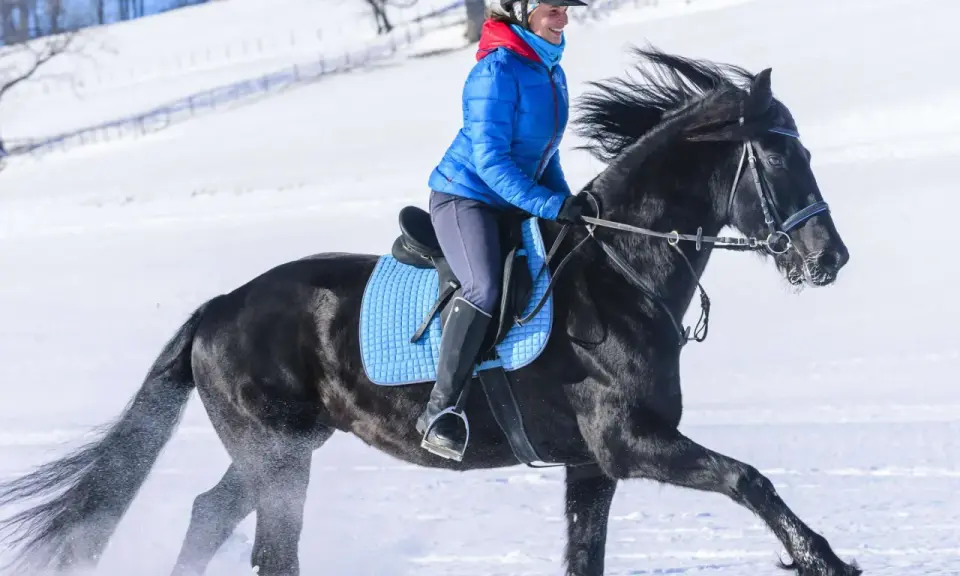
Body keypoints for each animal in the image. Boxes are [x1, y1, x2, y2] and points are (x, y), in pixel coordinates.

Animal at [0, 48, 860, 576]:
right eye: (778, 155)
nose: (830, 260)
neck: (621, 272)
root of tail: (218, 309)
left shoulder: (590, 467)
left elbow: (587, 555)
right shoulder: (629, 444)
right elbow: (748, 479)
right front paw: (824, 557)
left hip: (282, 449)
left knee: (212, 513)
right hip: (277, 455)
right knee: (268, 546)